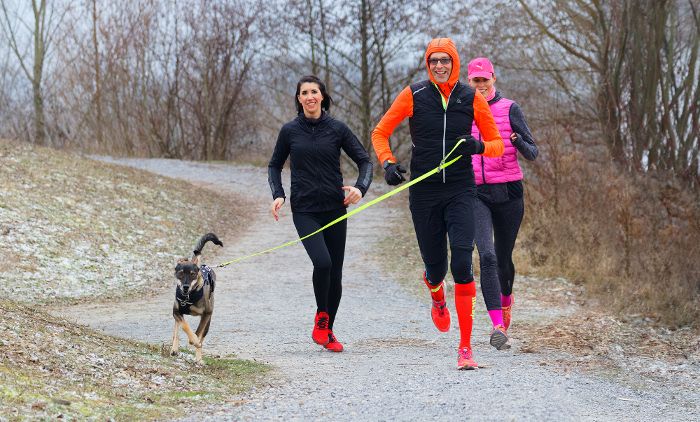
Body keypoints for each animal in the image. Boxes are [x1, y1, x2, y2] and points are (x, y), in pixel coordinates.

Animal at [170, 232, 221, 364]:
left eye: (193, 274)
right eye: (181, 273)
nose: (185, 287)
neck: (189, 297)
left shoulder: (206, 314)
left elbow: (198, 333)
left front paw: (195, 341)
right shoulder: (176, 312)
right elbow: (184, 326)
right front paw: (192, 339)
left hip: (208, 321)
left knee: (202, 336)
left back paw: (199, 359)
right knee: (176, 330)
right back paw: (174, 349)